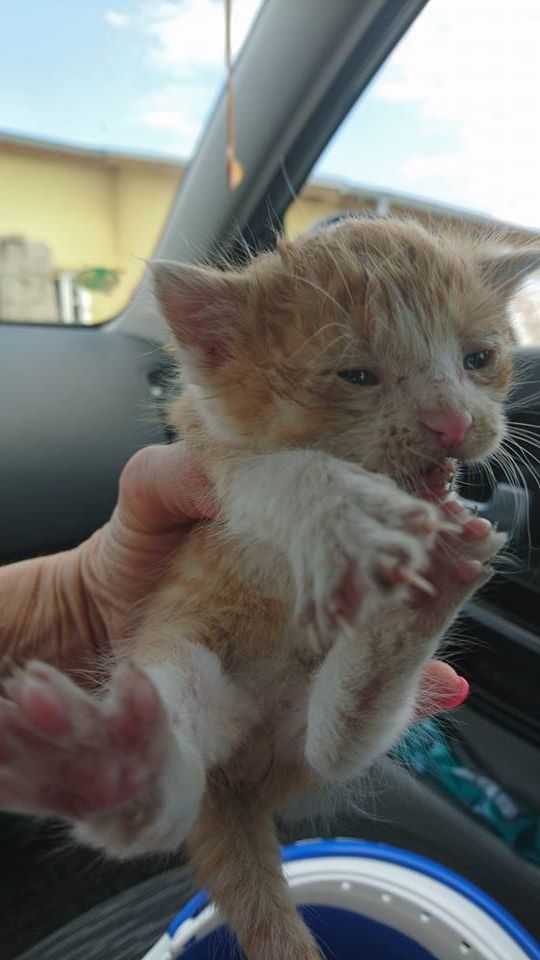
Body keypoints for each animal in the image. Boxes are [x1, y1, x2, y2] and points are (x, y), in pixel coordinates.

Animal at [1, 215, 538, 960]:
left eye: (479, 358)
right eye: (357, 375)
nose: (454, 424)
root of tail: (238, 786)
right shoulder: (207, 463)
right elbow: (282, 472)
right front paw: (348, 509)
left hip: (302, 743)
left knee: (332, 746)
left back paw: (421, 596)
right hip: (169, 655)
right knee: (166, 796)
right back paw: (106, 769)